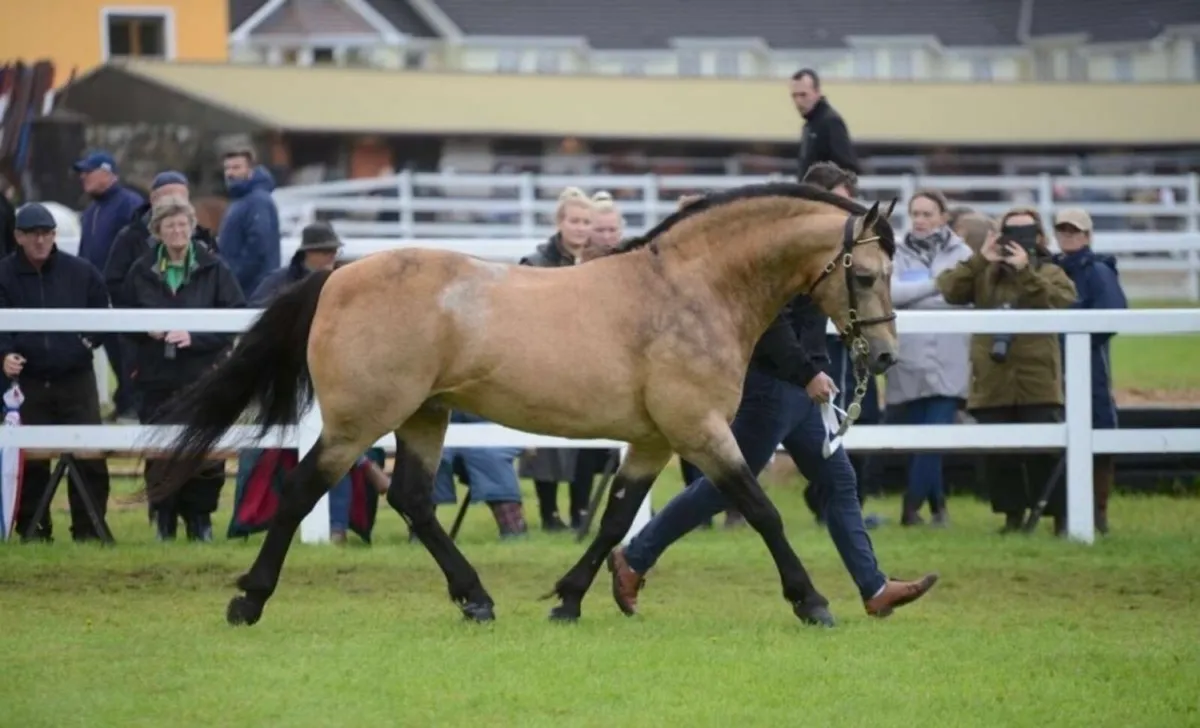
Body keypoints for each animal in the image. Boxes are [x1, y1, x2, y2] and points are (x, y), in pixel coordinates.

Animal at [149, 181, 900, 628]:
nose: (887, 357)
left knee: (414, 500)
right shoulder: (701, 431)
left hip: (426, 415)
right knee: (303, 489)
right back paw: (249, 599)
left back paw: (476, 598)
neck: (687, 290)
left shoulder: (654, 439)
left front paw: (569, 599)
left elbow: (615, 519)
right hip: (359, 422)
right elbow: (762, 509)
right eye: (864, 274)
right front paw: (813, 601)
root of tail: (337, 276)